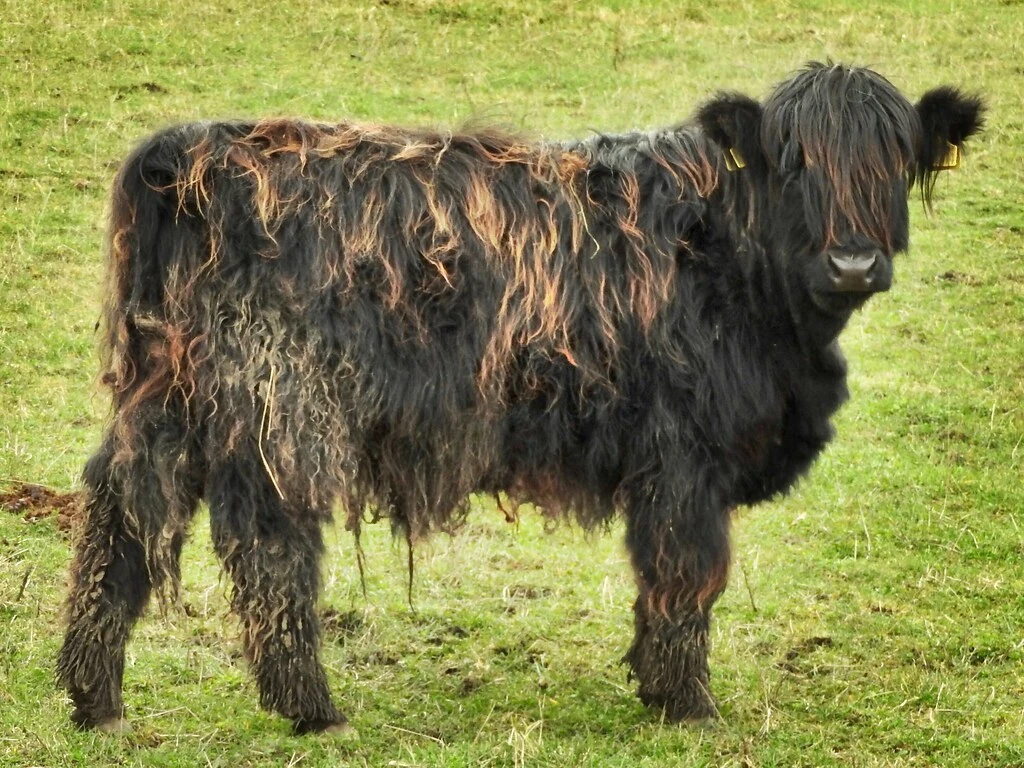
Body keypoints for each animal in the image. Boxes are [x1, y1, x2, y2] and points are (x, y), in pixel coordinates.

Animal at [57, 62, 984, 734]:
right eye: (795, 164)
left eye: (894, 161)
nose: (854, 263)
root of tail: (191, 150)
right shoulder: (684, 459)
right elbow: (686, 576)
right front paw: (690, 707)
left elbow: (662, 582)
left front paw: (656, 690)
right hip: (280, 403)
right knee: (268, 546)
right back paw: (312, 709)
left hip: (170, 398)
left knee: (119, 512)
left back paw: (95, 701)